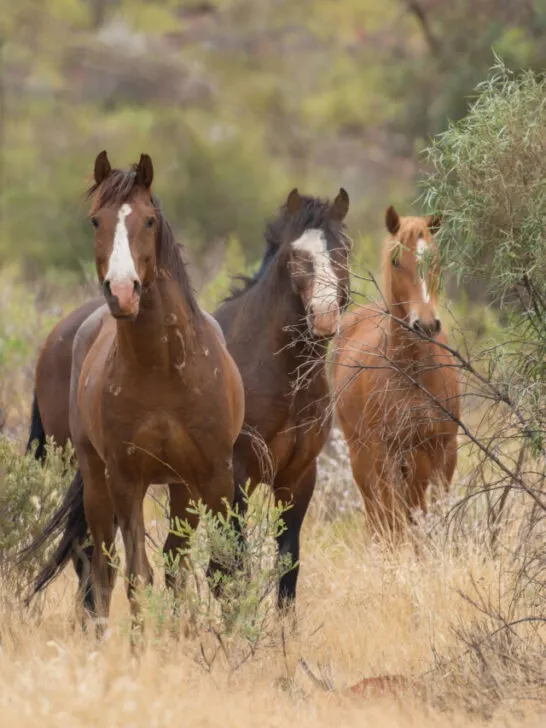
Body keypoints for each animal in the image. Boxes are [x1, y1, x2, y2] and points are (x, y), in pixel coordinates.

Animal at [24, 186, 351, 612]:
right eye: (296, 256)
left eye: (343, 251)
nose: (325, 317)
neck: (278, 374)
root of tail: (60, 334)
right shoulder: (236, 476)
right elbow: (229, 567)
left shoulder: (298, 478)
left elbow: (286, 568)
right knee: (90, 556)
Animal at [26, 151, 245, 632]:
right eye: (96, 220)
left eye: (148, 220)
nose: (123, 293)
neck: (163, 368)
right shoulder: (127, 479)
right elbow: (136, 576)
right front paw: (143, 643)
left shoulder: (215, 477)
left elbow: (220, 570)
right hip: (95, 478)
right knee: (99, 563)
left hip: (182, 488)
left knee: (175, 563)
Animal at [332, 206, 460, 537]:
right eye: (396, 261)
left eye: (435, 259)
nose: (426, 324)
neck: (415, 375)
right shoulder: (386, 455)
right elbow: (394, 522)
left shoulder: (444, 451)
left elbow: (436, 516)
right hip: (361, 459)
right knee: (378, 517)